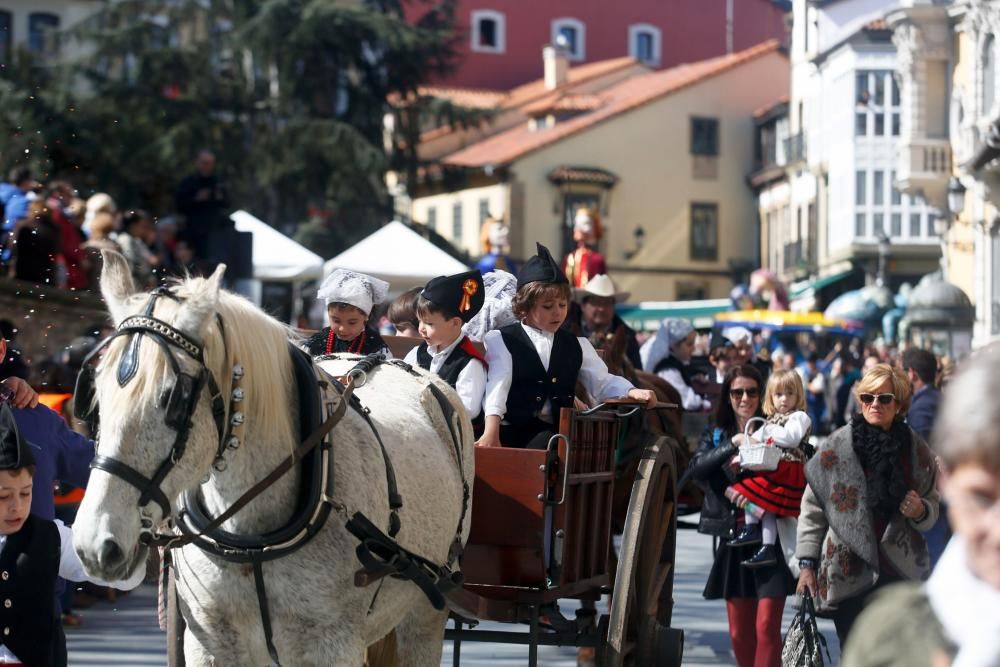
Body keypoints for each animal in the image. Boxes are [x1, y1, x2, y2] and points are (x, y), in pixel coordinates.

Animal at [74, 253, 472, 664]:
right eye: (95, 392)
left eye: (174, 398)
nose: (96, 543)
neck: (253, 540)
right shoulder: (212, 640)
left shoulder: (332, 643)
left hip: (425, 610)